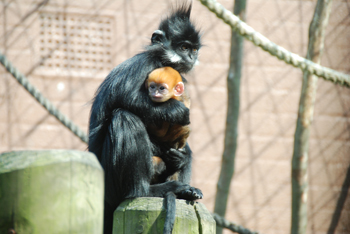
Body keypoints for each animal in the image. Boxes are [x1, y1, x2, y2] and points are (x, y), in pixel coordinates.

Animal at [88, 3, 202, 234]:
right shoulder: (143, 63)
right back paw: (144, 190)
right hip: (111, 184)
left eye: (194, 49)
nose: (191, 58)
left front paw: (179, 158)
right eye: (183, 48)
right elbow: (124, 96)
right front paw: (175, 109)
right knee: (124, 117)